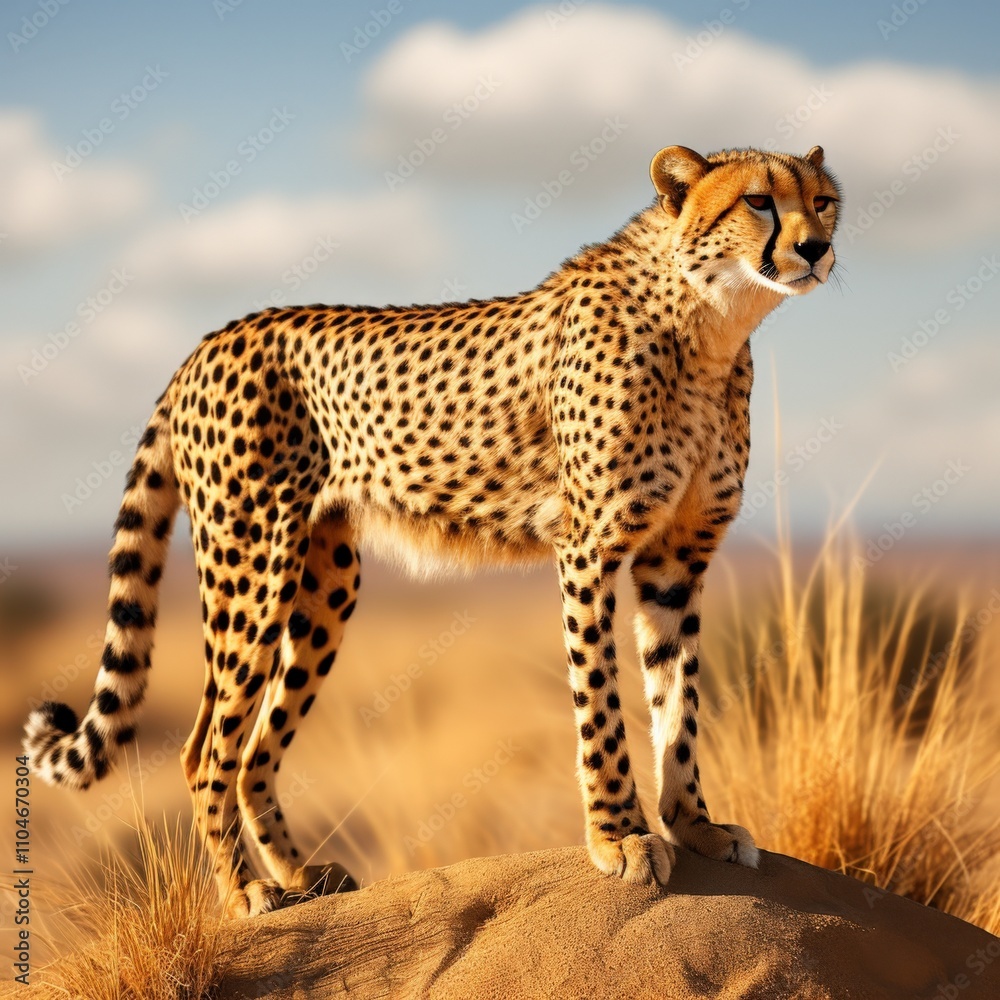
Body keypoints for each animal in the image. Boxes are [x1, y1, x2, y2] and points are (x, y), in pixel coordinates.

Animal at [25, 144, 840, 918]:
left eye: (825, 201)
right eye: (759, 201)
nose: (815, 248)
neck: (709, 324)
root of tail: (209, 340)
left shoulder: (675, 561)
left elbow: (679, 701)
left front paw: (693, 824)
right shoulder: (589, 549)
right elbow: (601, 703)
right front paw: (619, 837)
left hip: (326, 583)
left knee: (255, 748)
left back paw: (300, 876)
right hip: (251, 569)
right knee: (203, 750)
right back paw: (245, 893)